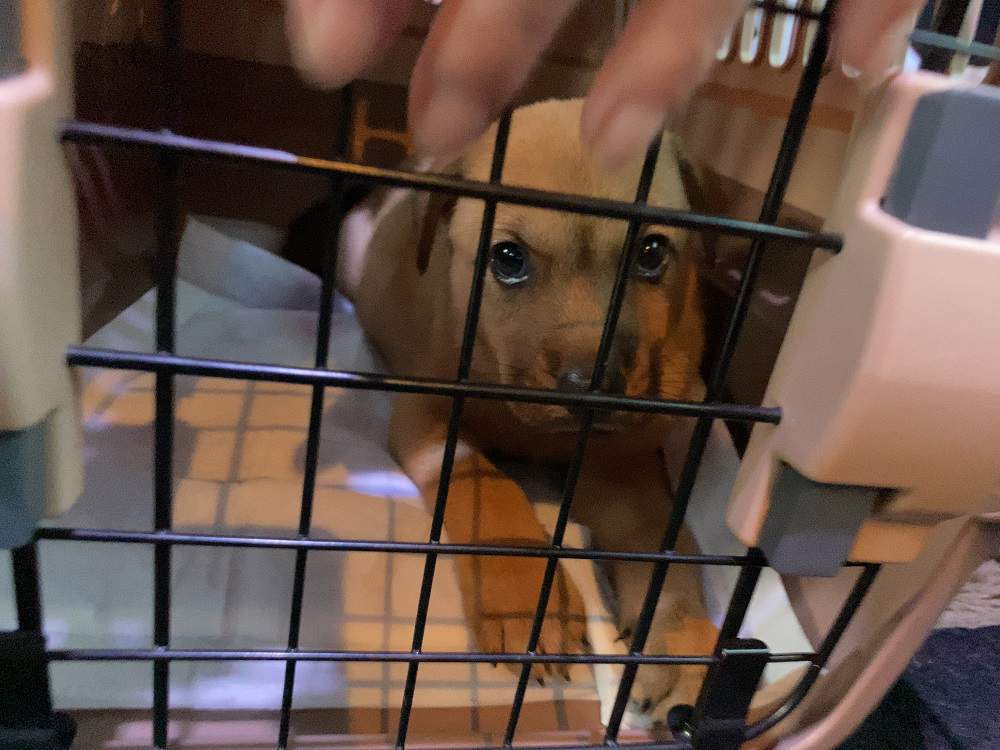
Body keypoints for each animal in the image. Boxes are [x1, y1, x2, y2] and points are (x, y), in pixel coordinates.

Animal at [289, 98, 719, 726]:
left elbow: (668, 545)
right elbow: (486, 487)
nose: (592, 384)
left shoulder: (621, 469)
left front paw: (683, 642)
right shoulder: (428, 416)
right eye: (508, 259)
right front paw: (525, 602)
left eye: (652, 253)